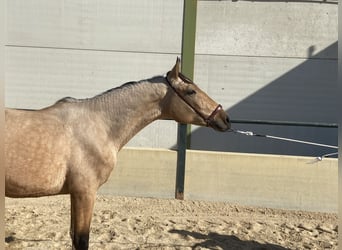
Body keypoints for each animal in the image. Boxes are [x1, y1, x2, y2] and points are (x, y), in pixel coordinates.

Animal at [5, 58, 231, 250]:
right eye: (191, 91)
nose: (225, 118)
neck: (100, 125)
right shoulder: (84, 193)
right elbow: (81, 239)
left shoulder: (76, 194)